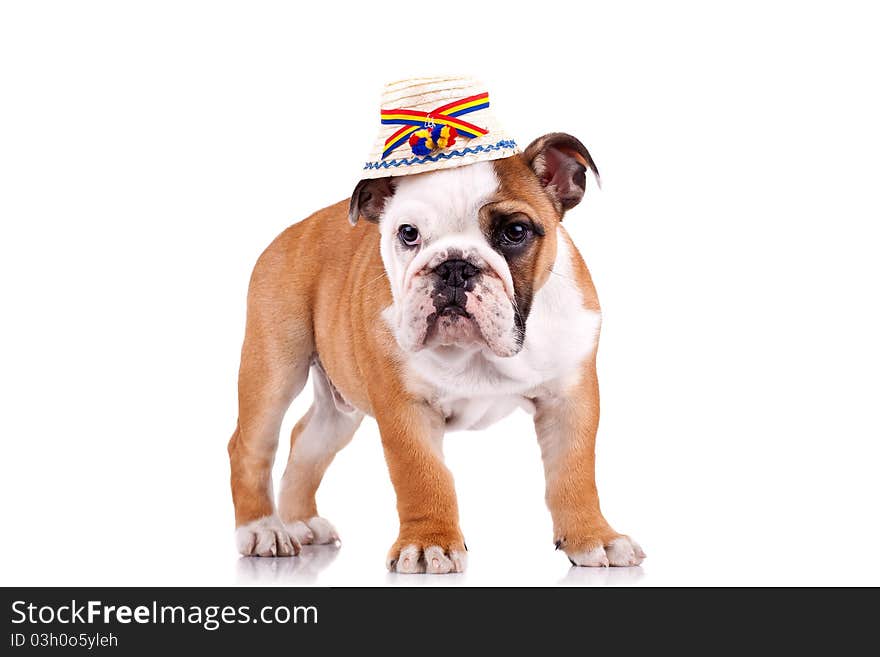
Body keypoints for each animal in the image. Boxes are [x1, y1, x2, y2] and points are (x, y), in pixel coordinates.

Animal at [223, 136, 644, 572]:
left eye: (515, 231)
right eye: (408, 233)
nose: (455, 266)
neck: (475, 351)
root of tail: (296, 228)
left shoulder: (569, 399)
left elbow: (574, 473)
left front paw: (593, 537)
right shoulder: (405, 407)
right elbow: (423, 476)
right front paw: (429, 545)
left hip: (339, 407)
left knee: (307, 438)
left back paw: (300, 522)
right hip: (274, 368)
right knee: (250, 446)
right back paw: (263, 529)